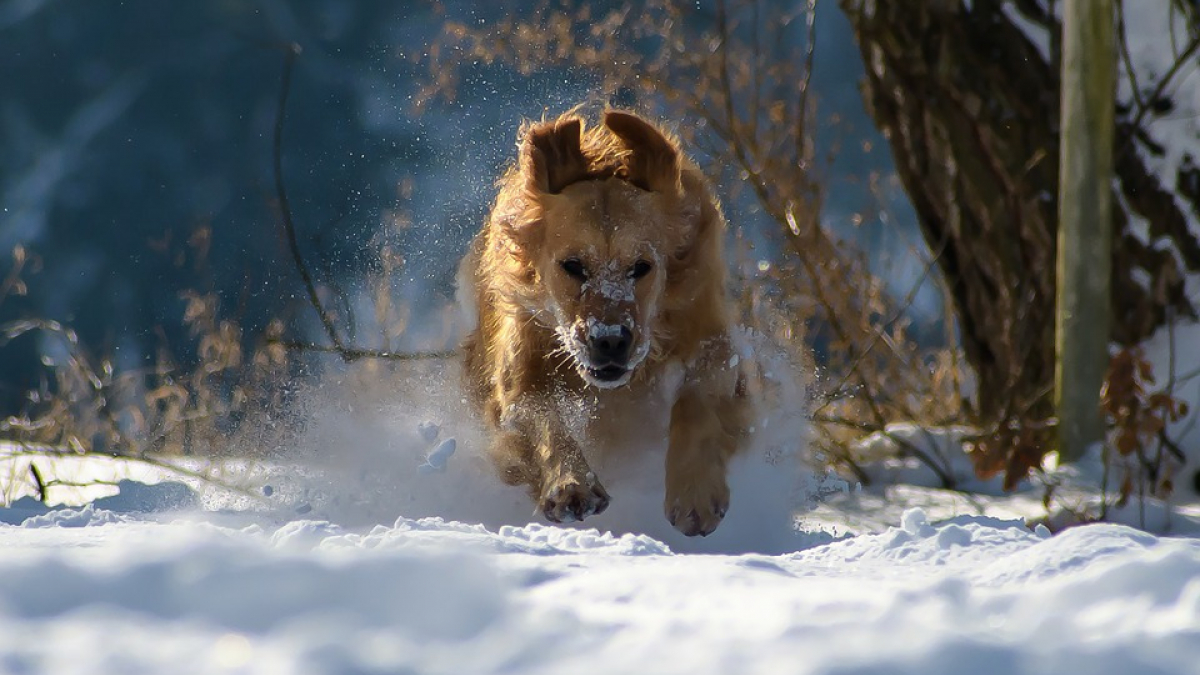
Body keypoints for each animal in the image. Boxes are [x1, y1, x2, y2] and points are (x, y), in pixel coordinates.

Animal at [460, 107, 758, 533]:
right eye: (572, 266)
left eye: (642, 267)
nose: (611, 340)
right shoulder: (518, 374)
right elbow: (542, 417)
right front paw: (571, 485)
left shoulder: (711, 337)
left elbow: (697, 401)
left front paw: (695, 492)